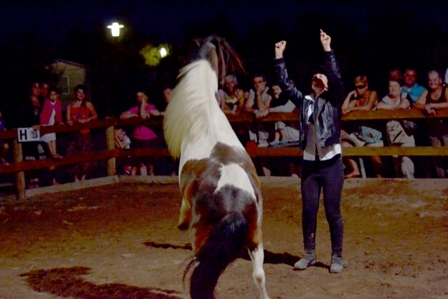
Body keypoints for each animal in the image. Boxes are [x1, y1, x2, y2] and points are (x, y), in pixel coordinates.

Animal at [164, 35, 270, 299]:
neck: (205, 112)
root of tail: (232, 205)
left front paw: (180, 221)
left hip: (201, 243)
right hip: (256, 239)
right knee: (259, 275)